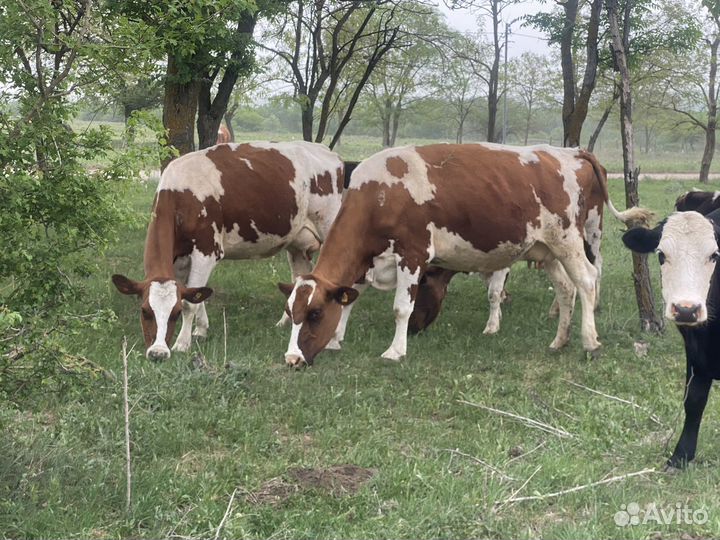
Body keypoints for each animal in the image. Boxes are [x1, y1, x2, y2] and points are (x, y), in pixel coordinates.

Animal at [112, 141, 345, 360]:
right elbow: (196, 293)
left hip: (331, 229)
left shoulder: (207, 250)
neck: (180, 193)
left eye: (175, 313)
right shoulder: (180, 258)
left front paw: (182, 344)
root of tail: (330, 153)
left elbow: (190, 302)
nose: (157, 353)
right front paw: (201, 330)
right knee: (300, 278)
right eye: (144, 311)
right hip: (297, 244)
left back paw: (335, 338)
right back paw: (286, 322)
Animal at [280, 143, 651, 367]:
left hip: (569, 238)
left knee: (587, 279)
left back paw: (589, 340)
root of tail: (567, 152)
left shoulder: (413, 253)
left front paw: (395, 350)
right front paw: (336, 339)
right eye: (291, 312)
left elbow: (401, 308)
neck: (380, 193)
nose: (292, 358)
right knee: (565, 287)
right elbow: (350, 300)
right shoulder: (369, 260)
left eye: (314, 314)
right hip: (544, 250)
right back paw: (559, 340)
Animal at [622, 208, 720, 468]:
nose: (687, 309)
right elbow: (693, 400)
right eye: (661, 255)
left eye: (714, 255)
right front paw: (681, 455)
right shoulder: (694, 350)